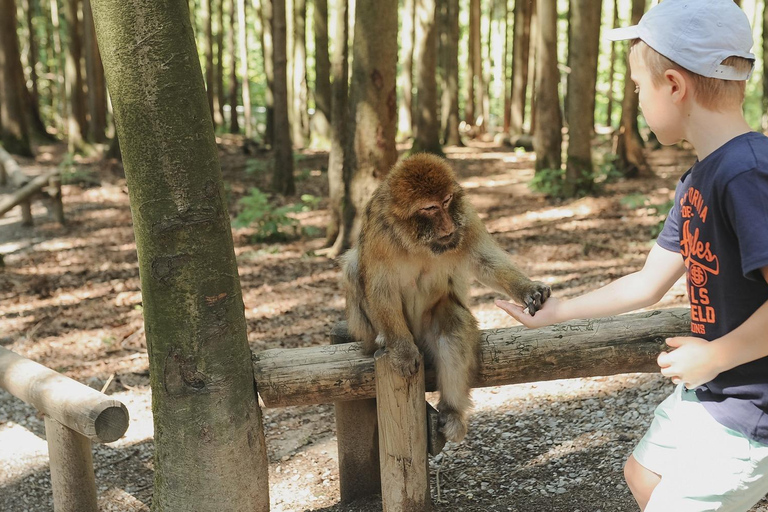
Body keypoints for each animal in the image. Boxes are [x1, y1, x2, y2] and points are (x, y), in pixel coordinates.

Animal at [340, 153, 550, 443]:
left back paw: (452, 412)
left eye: (447, 201)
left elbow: (485, 261)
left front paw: (527, 289)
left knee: (452, 324)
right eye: (429, 208)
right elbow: (381, 288)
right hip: (374, 331)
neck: (417, 242)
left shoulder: (465, 216)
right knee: (352, 266)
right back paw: (385, 339)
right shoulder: (379, 231)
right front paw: (402, 351)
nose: (449, 225)